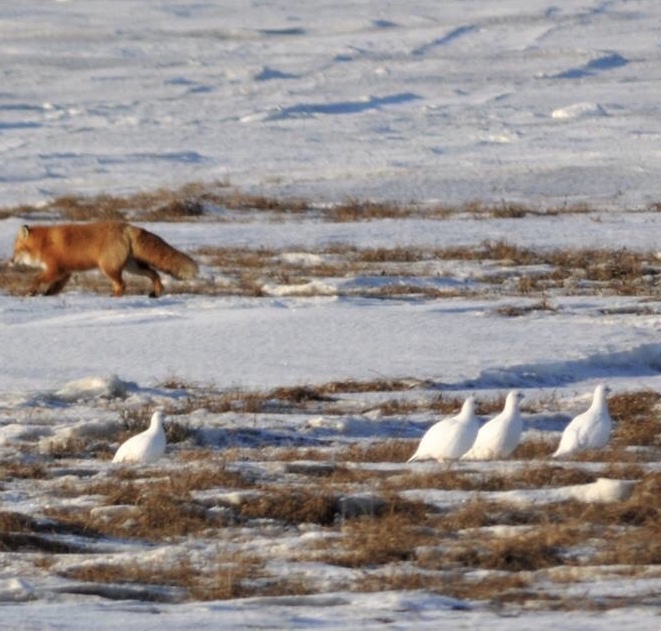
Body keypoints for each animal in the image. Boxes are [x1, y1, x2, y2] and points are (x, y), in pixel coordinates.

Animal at [10, 221, 198, 298]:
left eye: (16, 250)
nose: (10, 262)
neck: (43, 244)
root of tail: (128, 227)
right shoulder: (65, 273)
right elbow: (54, 289)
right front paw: (46, 296)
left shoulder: (55, 269)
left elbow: (37, 279)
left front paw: (30, 293)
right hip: (132, 267)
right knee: (154, 274)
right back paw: (156, 293)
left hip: (108, 268)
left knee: (122, 285)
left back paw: (114, 298)